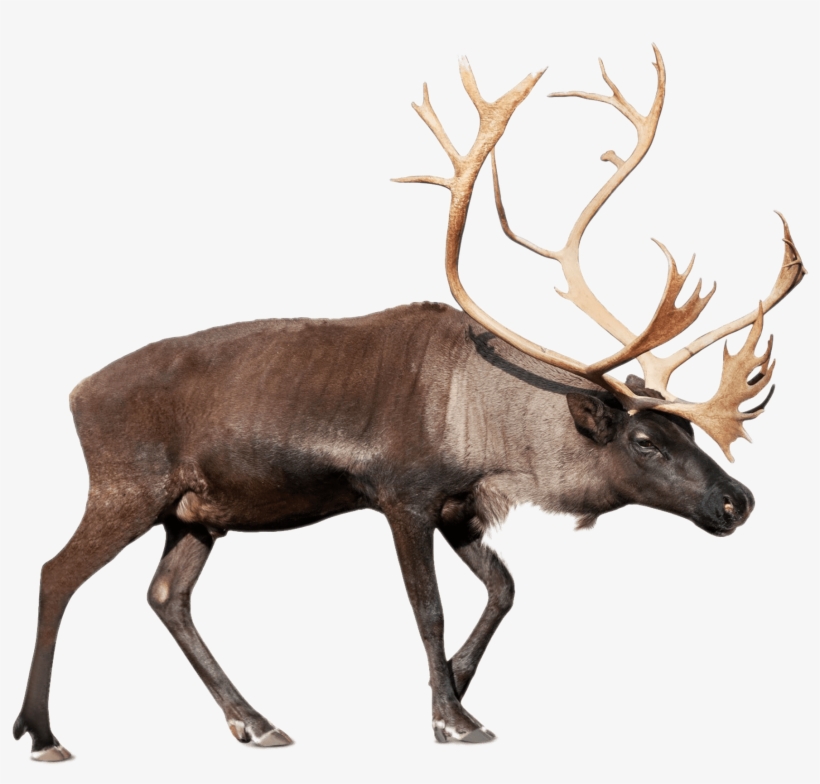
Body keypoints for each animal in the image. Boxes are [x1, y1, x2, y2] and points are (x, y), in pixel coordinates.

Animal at [13, 47, 806, 761]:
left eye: (689, 433)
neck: (493, 432)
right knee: (57, 572)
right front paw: (451, 718)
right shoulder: (404, 496)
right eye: (644, 441)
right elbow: (429, 608)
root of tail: (75, 392)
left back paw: (256, 722)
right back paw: (44, 733)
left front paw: (453, 687)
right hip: (127, 488)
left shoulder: (460, 508)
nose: (738, 501)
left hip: (198, 514)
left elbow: (505, 589)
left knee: (166, 596)